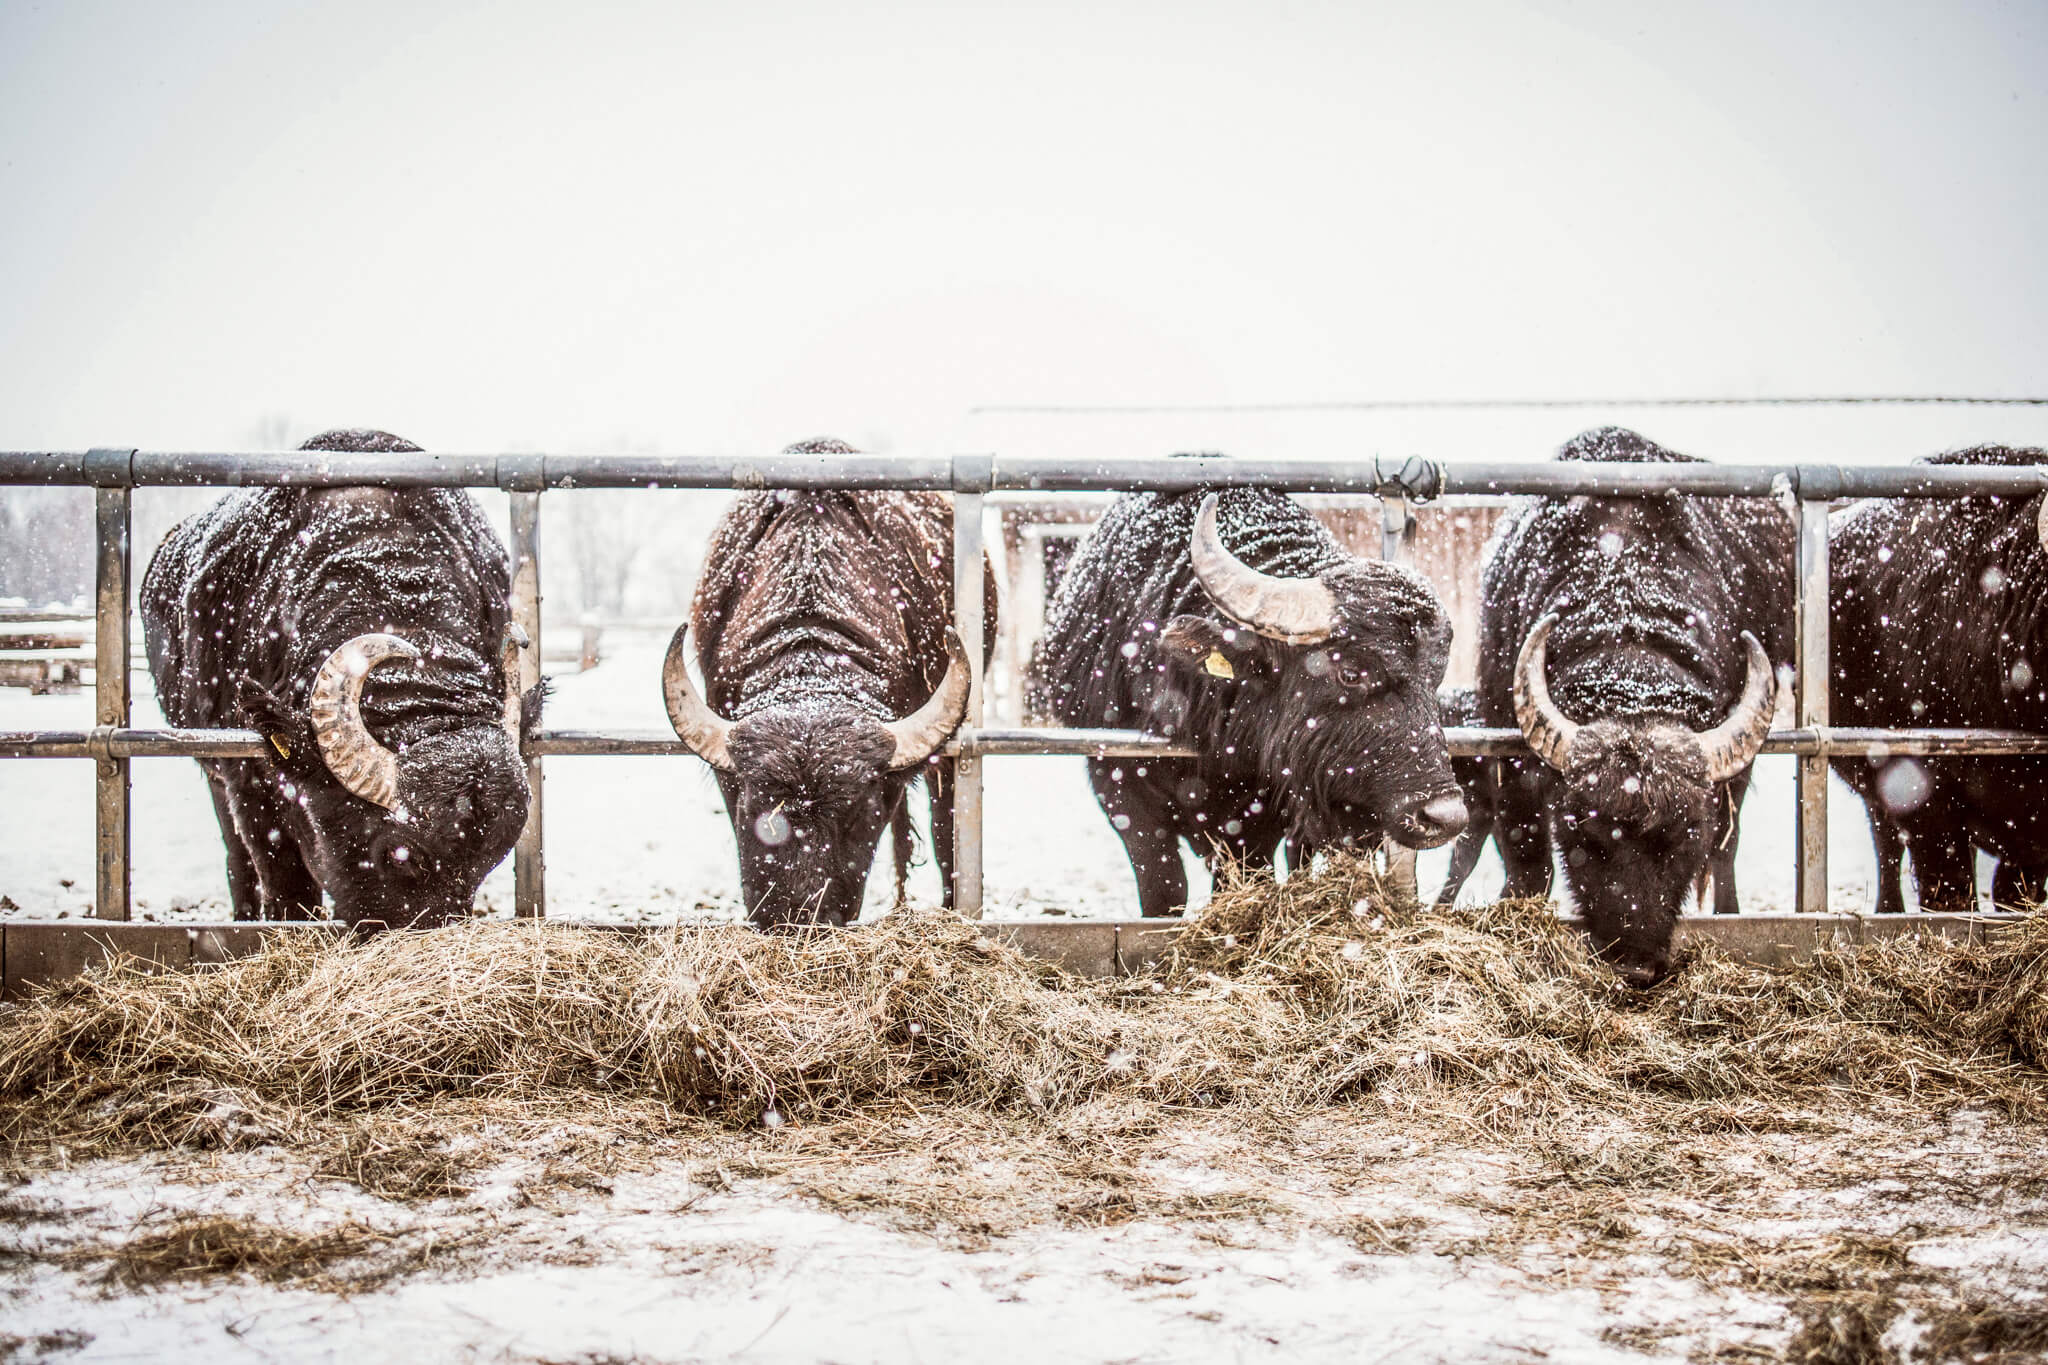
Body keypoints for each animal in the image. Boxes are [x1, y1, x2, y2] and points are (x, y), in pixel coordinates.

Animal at [1032, 482, 1466, 916]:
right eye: (1351, 673)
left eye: (1436, 678)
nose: (1445, 817)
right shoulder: (1118, 786)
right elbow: (1165, 889)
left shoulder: (1261, 812)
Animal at [1474, 427, 1794, 982]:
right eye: (1586, 836)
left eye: (1684, 837)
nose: (1637, 966)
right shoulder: (1506, 751)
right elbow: (1526, 850)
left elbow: (1723, 847)